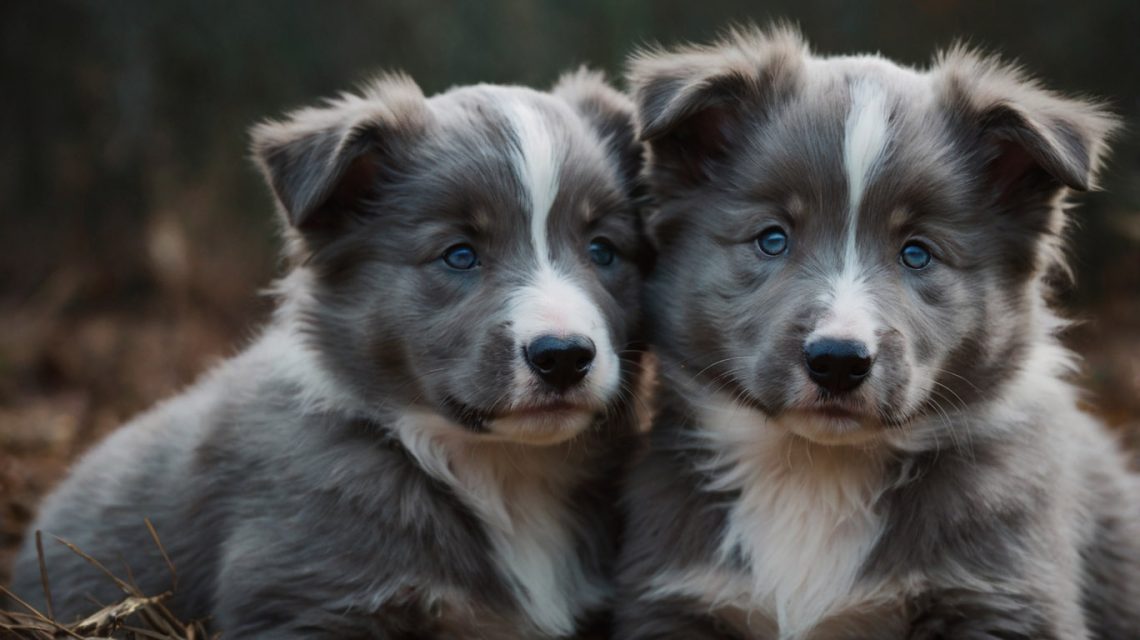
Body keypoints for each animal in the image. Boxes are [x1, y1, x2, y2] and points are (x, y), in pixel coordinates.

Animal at [620, 26, 1135, 638]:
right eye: (772, 239)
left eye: (917, 253)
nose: (838, 361)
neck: (817, 473)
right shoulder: (678, 603)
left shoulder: (1003, 602)